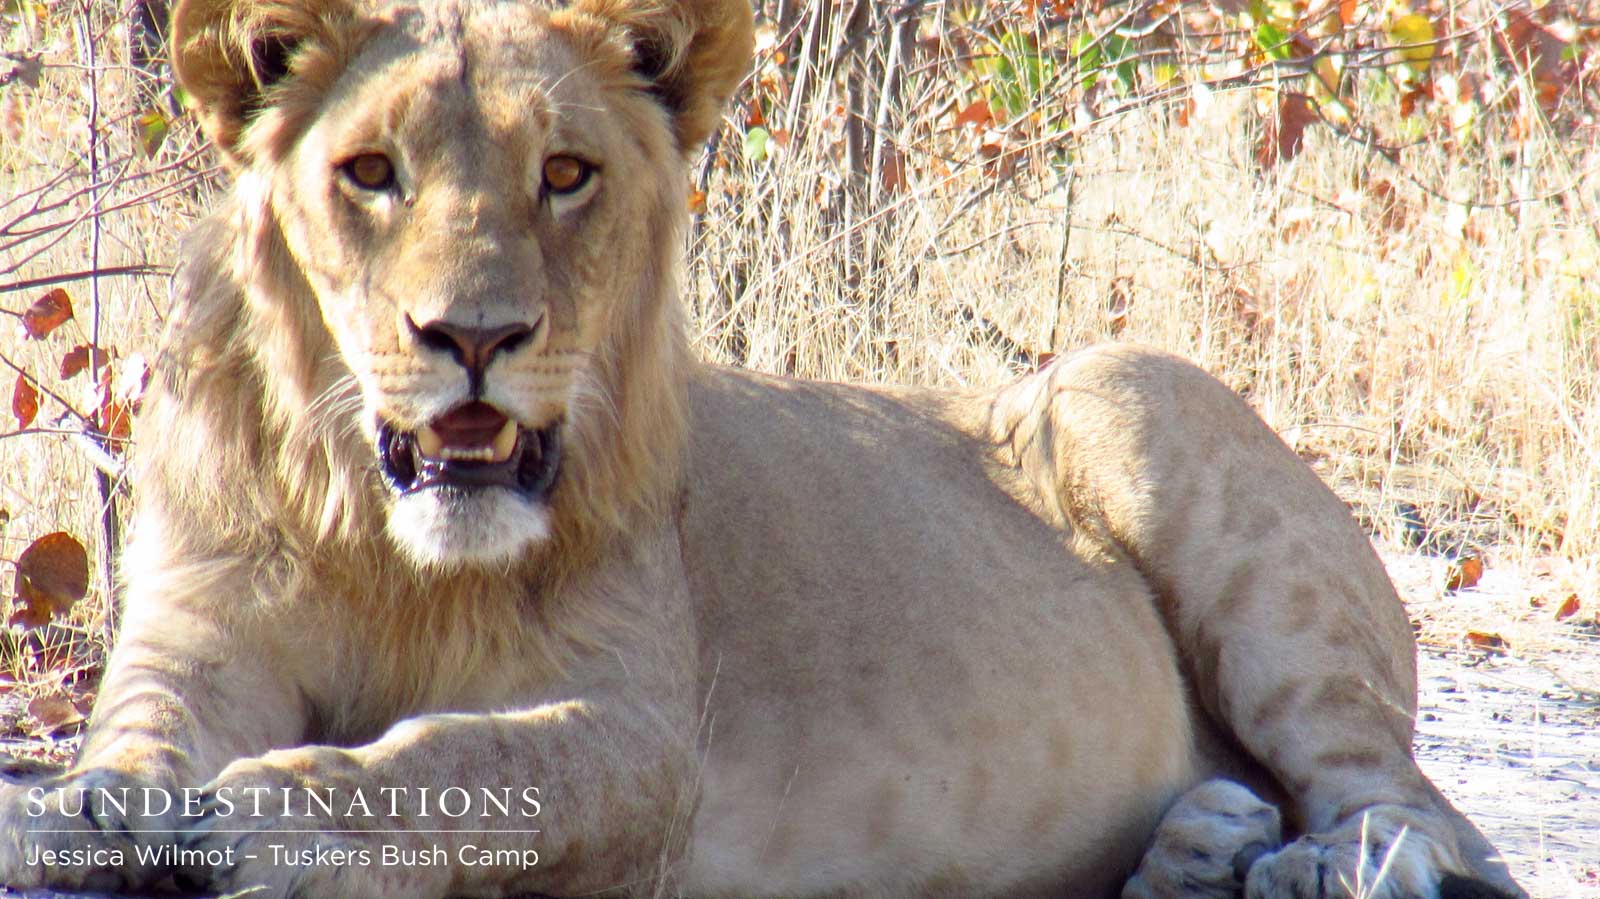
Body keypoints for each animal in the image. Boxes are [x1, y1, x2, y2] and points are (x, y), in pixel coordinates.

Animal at [0, 1, 1527, 897]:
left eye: (567, 175)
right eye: (369, 172)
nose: (472, 336)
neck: (390, 545)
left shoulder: (646, 736)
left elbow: (478, 756)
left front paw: (276, 820)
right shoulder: (198, 638)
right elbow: (135, 742)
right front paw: (99, 821)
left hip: (1129, 388)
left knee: (1430, 815)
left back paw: (1320, 867)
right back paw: (1205, 847)